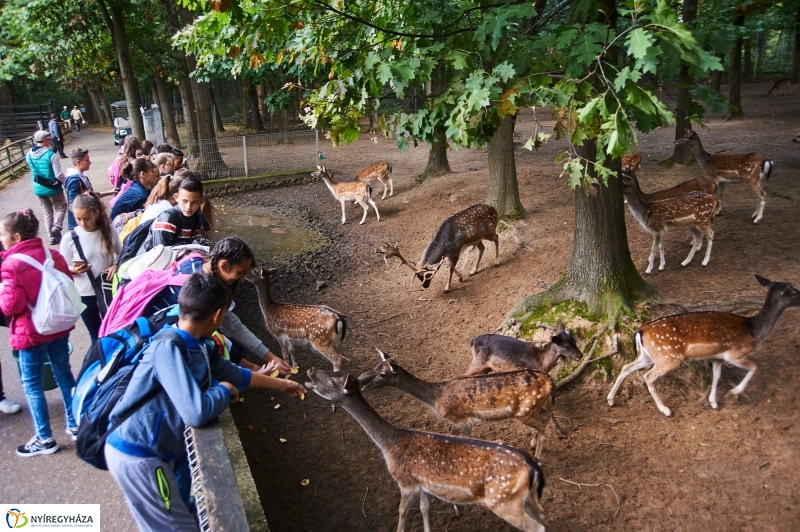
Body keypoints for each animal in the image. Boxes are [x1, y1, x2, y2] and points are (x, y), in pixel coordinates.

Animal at [304, 370, 548, 532]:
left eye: (333, 380)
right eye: (333, 372)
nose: (311, 371)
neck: (388, 444)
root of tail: (534, 469)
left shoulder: (405, 481)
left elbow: (402, 512)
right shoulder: (423, 485)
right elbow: (424, 508)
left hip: (503, 501)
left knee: (536, 527)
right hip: (526, 499)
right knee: (543, 517)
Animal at [360, 350, 560, 458]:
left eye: (383, 374)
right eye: (376, 367)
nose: (363, 383)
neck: (435, 398)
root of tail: (551, 382)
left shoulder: (457, 419)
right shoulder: (466, 421)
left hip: (524, 411)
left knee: (542, 424)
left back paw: (537, 455)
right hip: (536, 406)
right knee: (545, 418)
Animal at [608, 276, 800, 418]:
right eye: (793, 292)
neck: (754, 329)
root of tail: (640, 331)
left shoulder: (717, 357)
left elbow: (716, 376)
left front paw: (714, 402)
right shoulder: (735, 353)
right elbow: (754, 367)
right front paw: (733, 392)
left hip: (648, 356)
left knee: (627, 367)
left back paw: (610, 399)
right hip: (668, 357)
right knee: (648, 376)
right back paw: (666, 410)